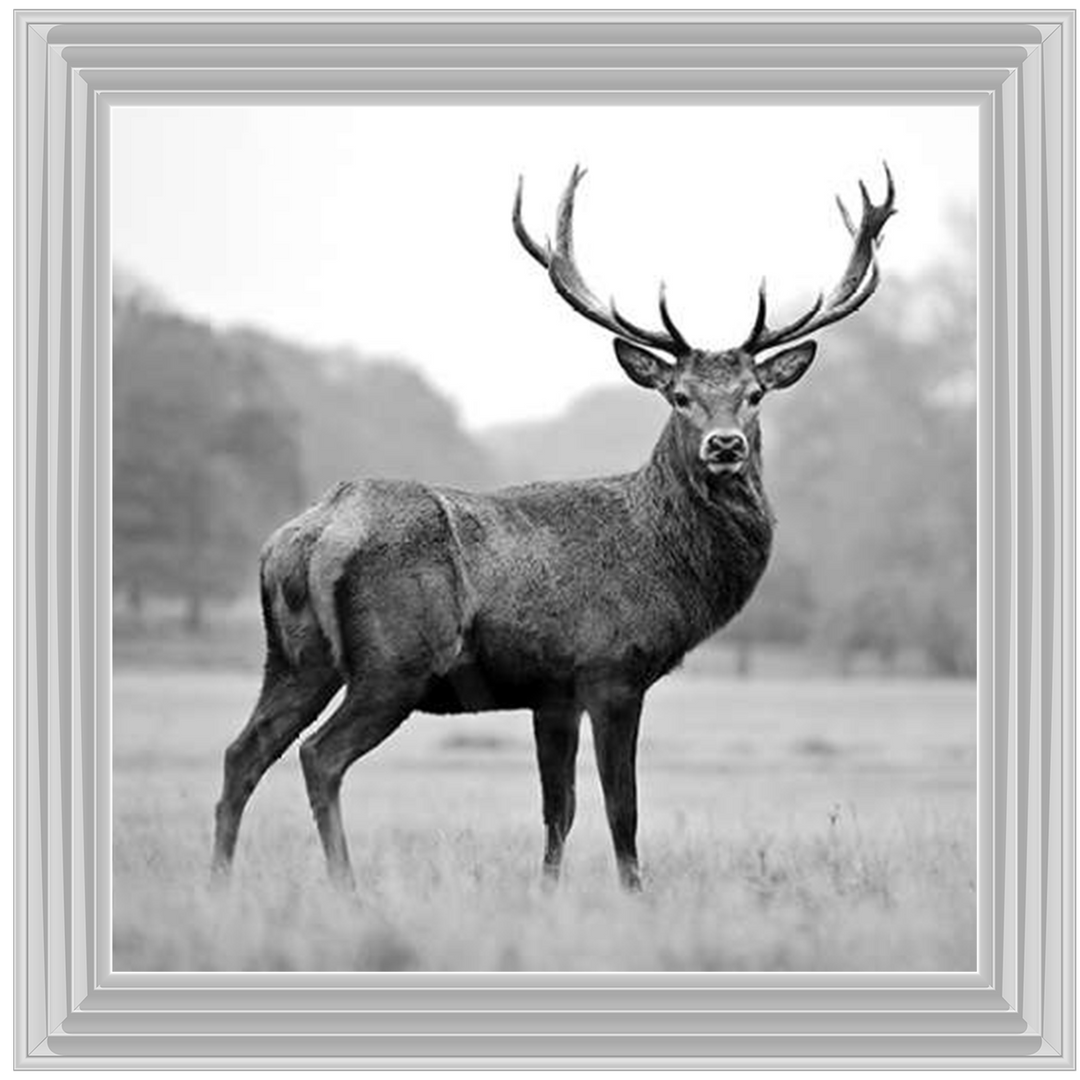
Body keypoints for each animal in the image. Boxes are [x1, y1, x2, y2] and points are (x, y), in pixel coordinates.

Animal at [211, 165, 896, 892]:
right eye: (678, 396)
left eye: (755, 394)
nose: (725, 446)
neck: (667, 563)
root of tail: (311, 533)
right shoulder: (612, 669)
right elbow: (622, 807)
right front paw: (634, 895)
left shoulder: (552, 692)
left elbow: (557, 809)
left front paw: (547, 892)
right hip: (394, 661)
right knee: (319, 755)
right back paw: (346, 887)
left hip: (294, 656)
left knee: (242, 752)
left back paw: (219, 880)